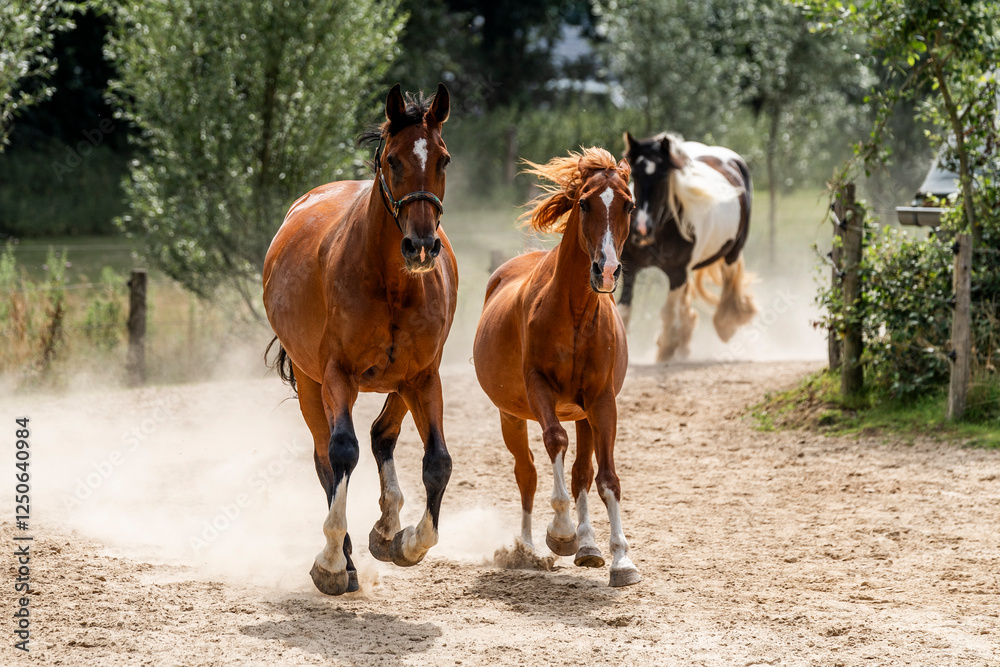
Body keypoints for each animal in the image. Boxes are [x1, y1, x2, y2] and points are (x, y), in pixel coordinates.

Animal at [262, 84, 456, 596]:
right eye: (392, 160)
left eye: (443, 159)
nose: (421, 246)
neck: (391, 284)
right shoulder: (337, 377)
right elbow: (341, 452)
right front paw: (332, 561)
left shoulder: (423, 377)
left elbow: (438, 462)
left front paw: (406, 541)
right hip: (311, 383)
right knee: (326, 458)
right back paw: (346, 559)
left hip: (401, 384)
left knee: (382, 435)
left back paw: (386, 528)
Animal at [473, 147, 641, 588]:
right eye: (584, 203)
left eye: (629, 204)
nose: (606, 270)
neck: (576, 313)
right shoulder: (540, 389)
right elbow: (554, 441)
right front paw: (561, 533)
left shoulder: (601, 401)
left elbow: (606, 477)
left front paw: (620, 559)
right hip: (510, 415)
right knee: (527, 474)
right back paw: (529, 548)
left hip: (582, 413)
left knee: (582, 471)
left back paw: (589, 547)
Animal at [619, 131, 757, 362]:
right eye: (635, 174)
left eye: (663, 176)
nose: (641, 229)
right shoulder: (630, 268)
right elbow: (624, 311)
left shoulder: (677, 273)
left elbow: (667, 312)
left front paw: (666, 349)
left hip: (732, 252)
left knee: (729, 283)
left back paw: (725, 325)